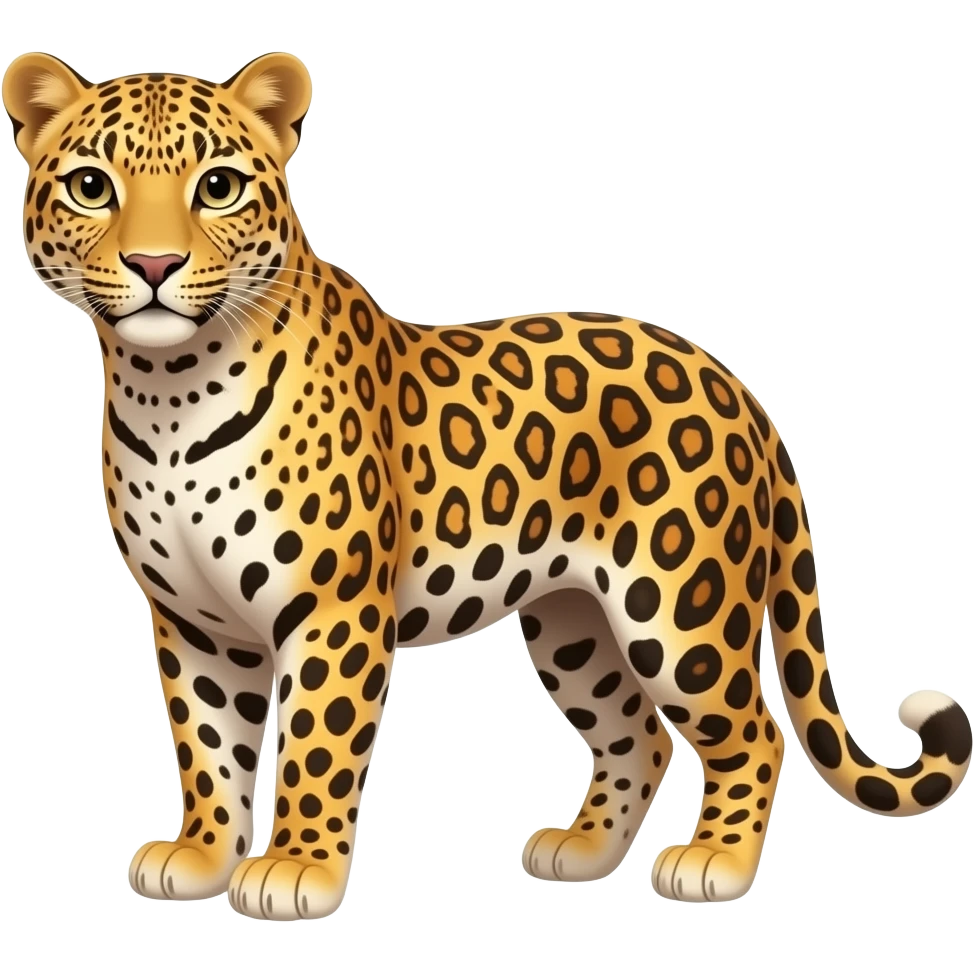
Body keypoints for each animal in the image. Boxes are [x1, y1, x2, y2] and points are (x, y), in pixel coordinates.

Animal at [4, 50, 971, 921]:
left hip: (678, 608)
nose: (154, 266)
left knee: (752, 733)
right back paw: (581, 851)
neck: (168, 389)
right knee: (638, 734)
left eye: (218, 187)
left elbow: (317, 740)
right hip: (575, 621)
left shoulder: (333, 607)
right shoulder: (194, 620)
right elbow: (209, 744)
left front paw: (295, 869)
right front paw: (203, 855)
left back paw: (715, 864)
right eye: (91, 187)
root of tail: (741, 391)